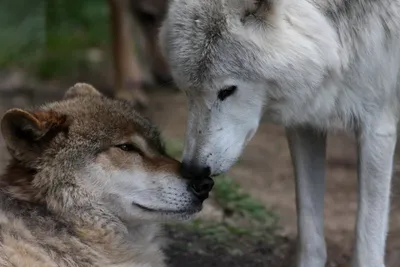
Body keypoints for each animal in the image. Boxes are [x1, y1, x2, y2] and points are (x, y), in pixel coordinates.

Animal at [159, 0, 400, 267]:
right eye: (187, 91)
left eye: (227, 90)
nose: (193, 169)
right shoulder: (306, 123)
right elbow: (309, 232)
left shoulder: (377, 125)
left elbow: (367, 244)